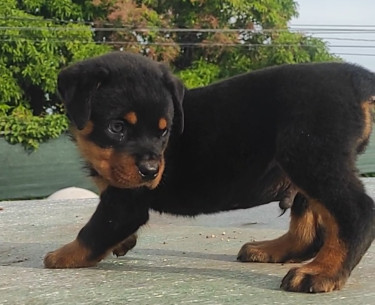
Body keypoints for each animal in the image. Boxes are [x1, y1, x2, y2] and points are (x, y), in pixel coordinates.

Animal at [44, 52, 375, 292]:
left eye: (164, 131)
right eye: (117, 127)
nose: (151, 171)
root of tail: (357, 78)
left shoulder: (126, 202)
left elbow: (94, 230)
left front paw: (62, 256)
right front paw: (122, 243)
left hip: (309, 153)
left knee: (357, 211)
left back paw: (321, 272)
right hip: (308, 160)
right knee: (310, 227)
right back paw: (272, 249)